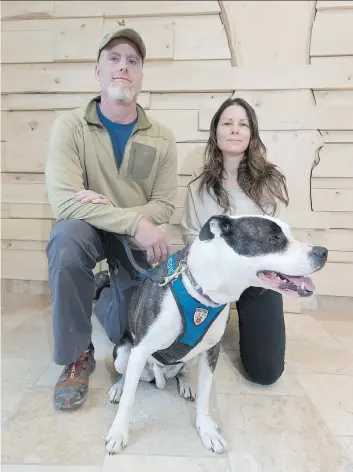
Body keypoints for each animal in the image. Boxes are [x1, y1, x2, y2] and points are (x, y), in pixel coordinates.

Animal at [103, 214, 326, 454]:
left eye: (290, 234)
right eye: (273, 238)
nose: (323, 252)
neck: (203, 289)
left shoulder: (211, 351)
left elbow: (205, 395)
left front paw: (207, 430)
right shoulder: (141, 349)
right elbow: (129, 399)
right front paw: (118, 433)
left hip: (190, 358)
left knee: (182, 371)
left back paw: (185, 384)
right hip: (124, 353)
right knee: (125, 374)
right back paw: (118, 387)